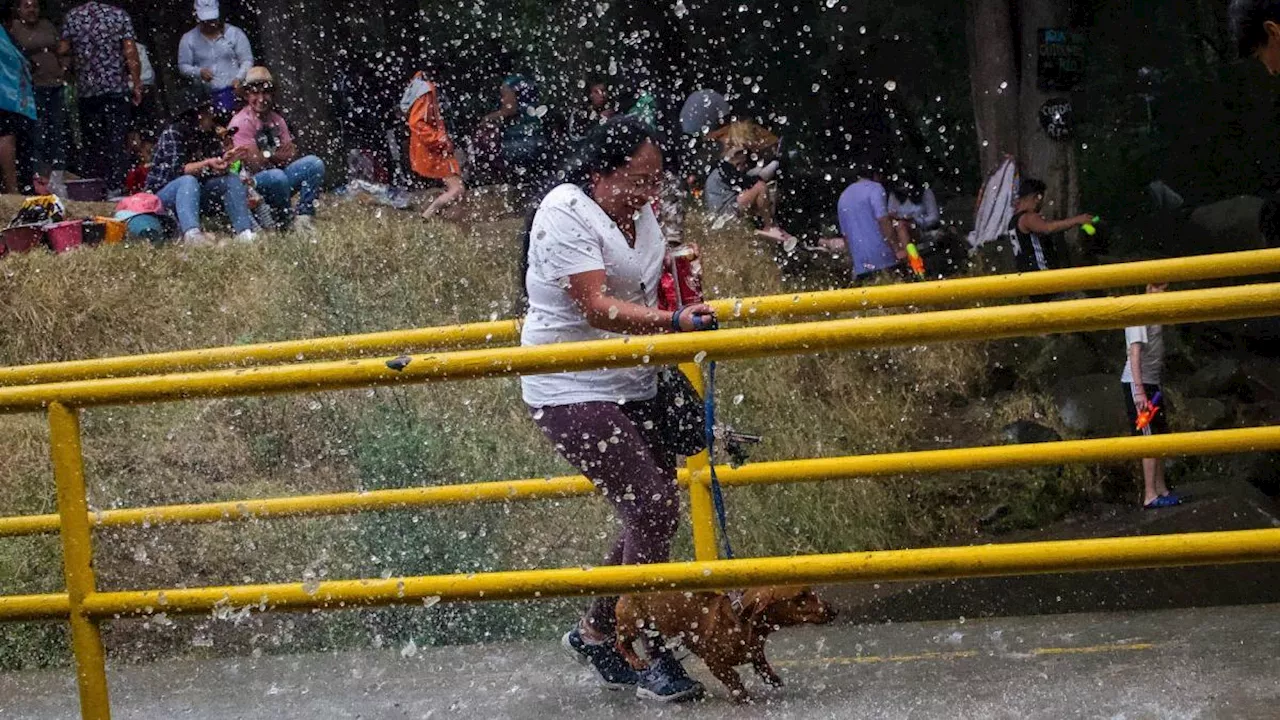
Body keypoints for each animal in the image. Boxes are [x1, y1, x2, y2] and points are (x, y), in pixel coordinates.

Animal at [614, 586, 834, 696]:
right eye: (801, 596)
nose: (834, 610)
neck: (740, 621)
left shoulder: (756, 651)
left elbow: (761, 663)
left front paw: (773, 678)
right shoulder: (715, 663)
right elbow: (733, 679)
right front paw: (743, 696)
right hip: (632, 624)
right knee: (621, 643)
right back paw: (636, 661)